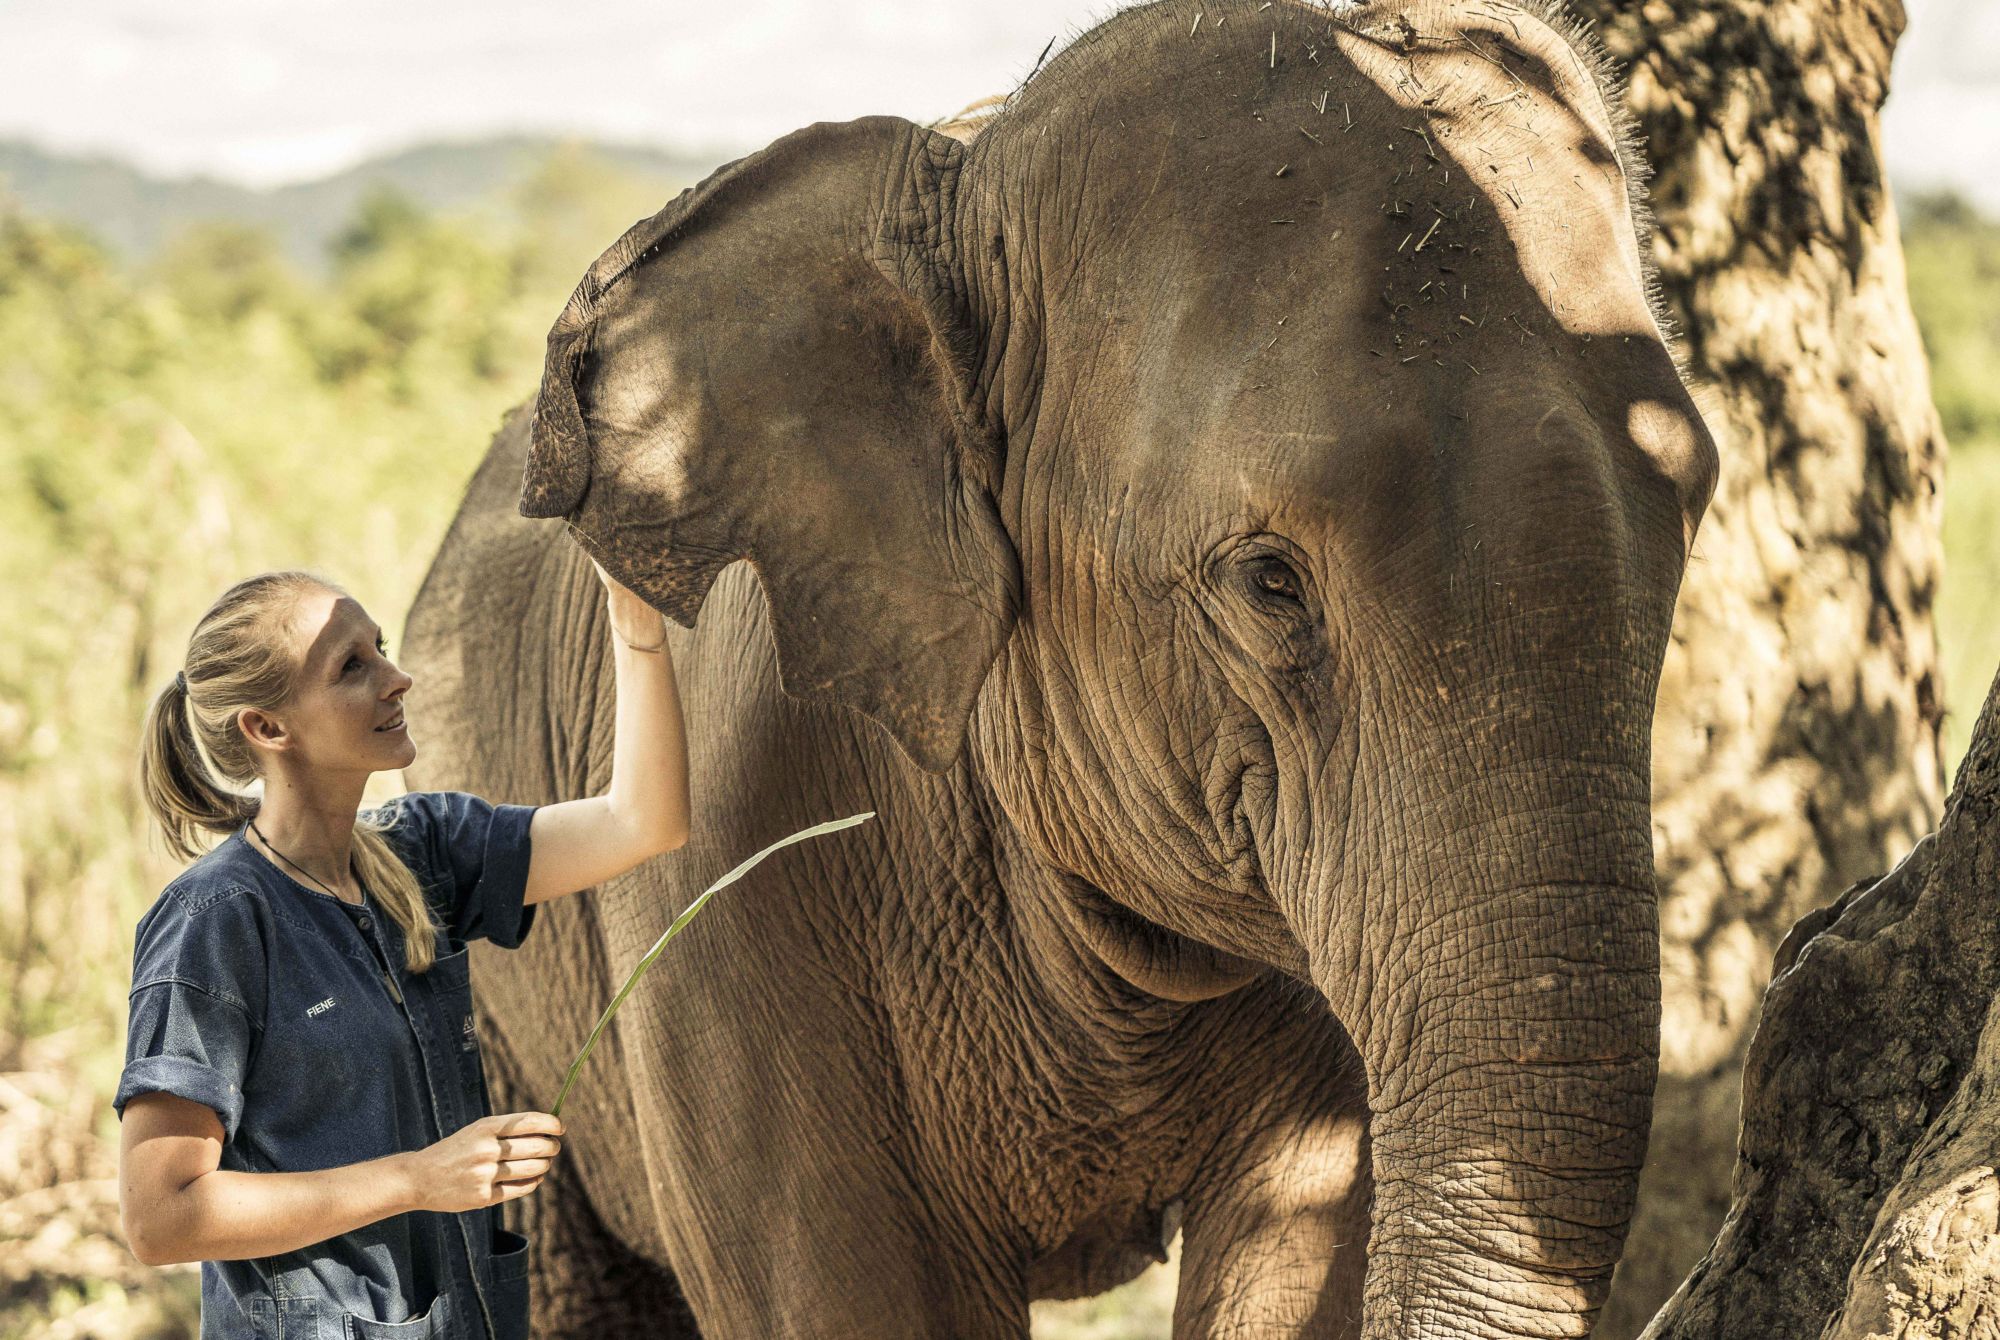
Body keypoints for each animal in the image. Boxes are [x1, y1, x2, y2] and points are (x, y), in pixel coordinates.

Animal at [402, 2, 1720, 1340]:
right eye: (1268, 581)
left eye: (1690, 510)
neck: (963, 182)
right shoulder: (731, 856)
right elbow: (851, 1298)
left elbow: (1294, 1246)